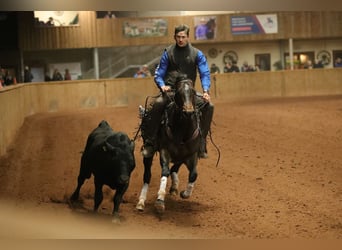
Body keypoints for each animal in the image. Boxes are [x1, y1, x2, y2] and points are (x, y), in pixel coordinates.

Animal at [135, 77, 202, 214]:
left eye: (193, 92)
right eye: (179, 93)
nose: (188, 112)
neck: (182, 133)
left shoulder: (191, 154)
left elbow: (193, 174)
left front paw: (184, 193)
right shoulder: (165, 151)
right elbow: (165, 171)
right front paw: (160, 200)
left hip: (181, 156)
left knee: (175, 168)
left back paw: (174, 187)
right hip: (149, 153)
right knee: (147, 176)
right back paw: (141, 202)